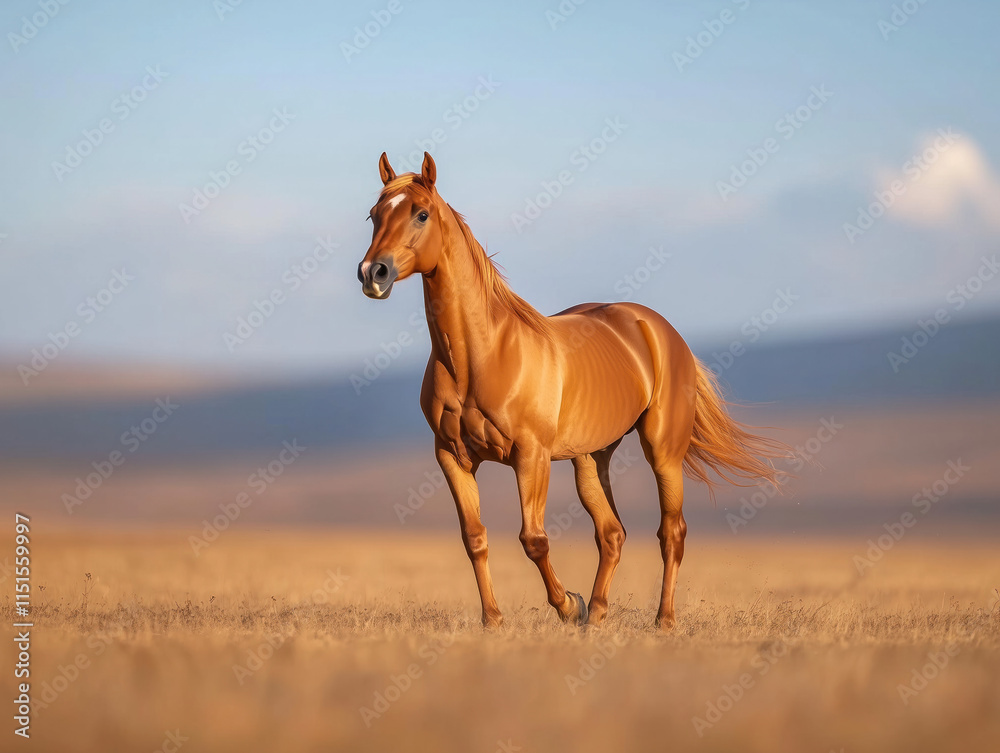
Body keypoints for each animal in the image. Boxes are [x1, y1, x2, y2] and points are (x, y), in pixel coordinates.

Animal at [357, 151, 788, 630]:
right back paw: (597, 614)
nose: (373, 273)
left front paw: (567, 605)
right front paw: (494, 620)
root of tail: (660, 330)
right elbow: (474, 538)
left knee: (671, 532)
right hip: (590, 459)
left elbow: (534, 539)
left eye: (421, 214)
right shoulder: (452, 457)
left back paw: (663, 620)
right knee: (612, 533)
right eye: (373, 215)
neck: (481, 355)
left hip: (662, 451)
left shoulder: (531, 456)